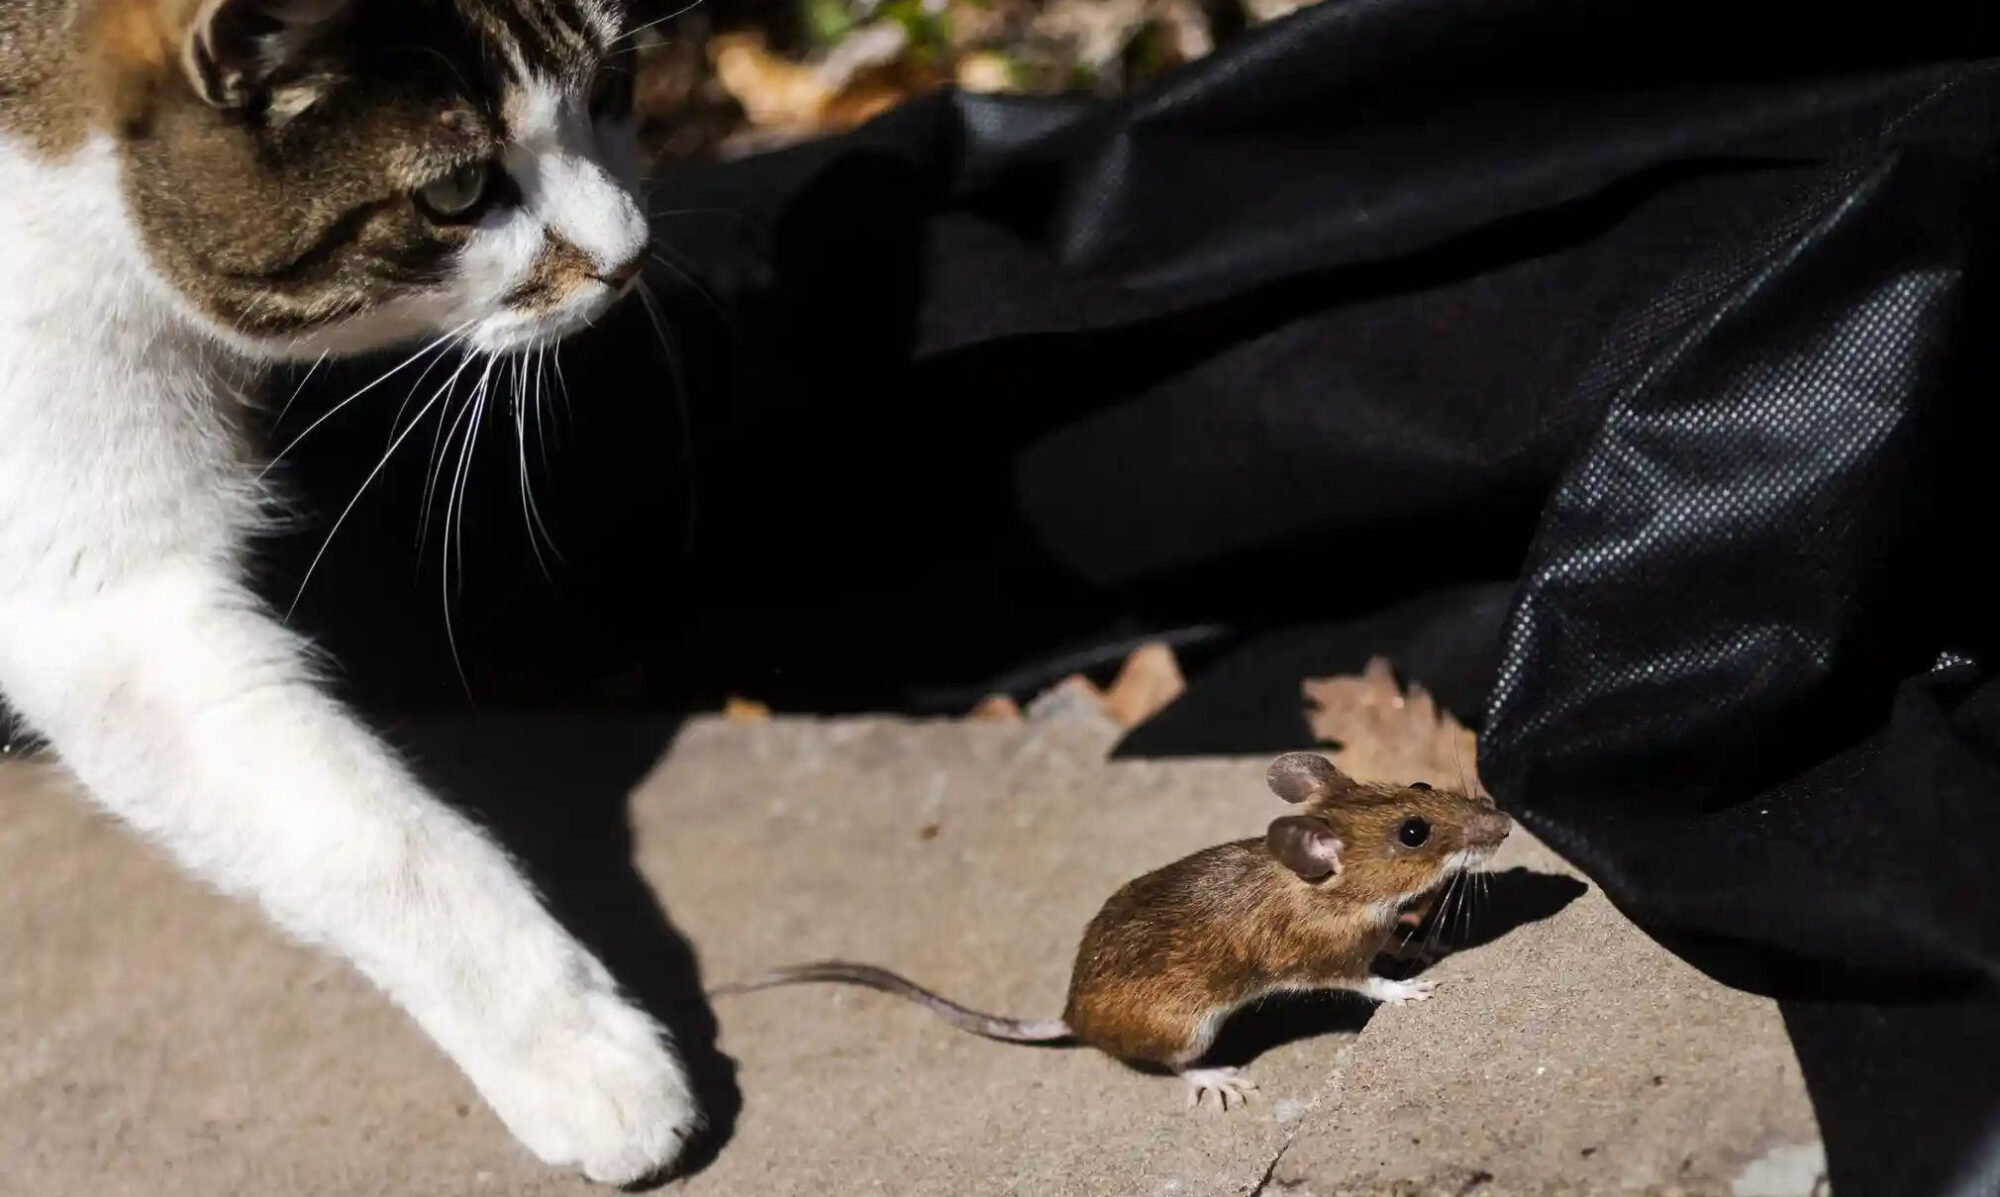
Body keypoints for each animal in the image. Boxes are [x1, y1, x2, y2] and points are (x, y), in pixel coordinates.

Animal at [0, 0, 697, 1183]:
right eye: (455, 194)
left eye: (611, 89)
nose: (629, 256)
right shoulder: (104, 603)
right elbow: (385, 844)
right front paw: (573, 1051)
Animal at [710, 751, 1512, 1109]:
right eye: (1415, 831)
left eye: (1420, 785)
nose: (1505, 823)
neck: (1326, 888)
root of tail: (1070, 1014)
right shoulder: (1323, 959)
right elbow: (1367, 980)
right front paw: (1413, 990)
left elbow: (1396, 941)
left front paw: (1427, 942)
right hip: (1187, 1026)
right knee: (1170, 1065)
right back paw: (1221, 1079)